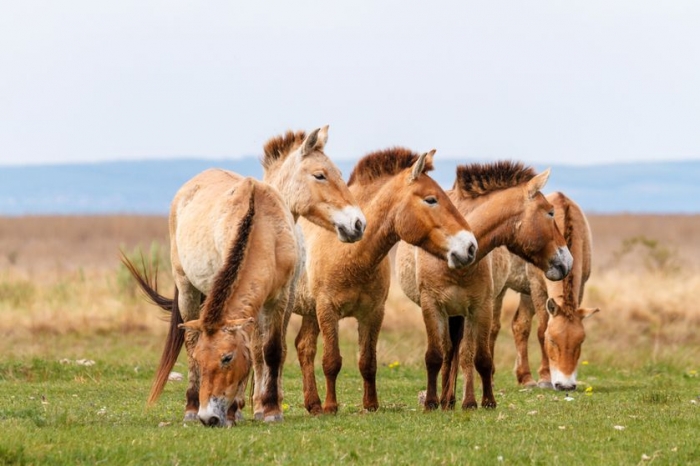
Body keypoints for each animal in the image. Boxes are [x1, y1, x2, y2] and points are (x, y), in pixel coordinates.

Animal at [123, 125, 366, 424]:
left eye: (339, 174)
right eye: (319, 175)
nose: (358, 223)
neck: (263, 228)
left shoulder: (280, 298)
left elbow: (271, 350)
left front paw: (267, 408)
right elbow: (251, 347)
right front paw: (240, 407)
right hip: (188, 290)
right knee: (190, 343)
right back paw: (191, 407)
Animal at [292, 147, 478, 414]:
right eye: (431, 199)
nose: (470, 247)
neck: (350, 255)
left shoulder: (373, 312)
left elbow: (368, 361)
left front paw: (370, 405)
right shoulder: (327, 310)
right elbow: (331, 361)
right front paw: (331, 407)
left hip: (309, 312)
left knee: (304, 347)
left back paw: (313, 404)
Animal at [396, 162, 572, 410]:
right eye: (550, 212)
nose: (568, 261)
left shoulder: (480, 307)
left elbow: (476, 357)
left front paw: (480, 401)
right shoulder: (432, 306)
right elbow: (435, 355)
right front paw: (431, 402)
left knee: (458, 352)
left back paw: (451, 399)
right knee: (448, 351)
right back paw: (445, 399)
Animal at [490, 191, 600, 392]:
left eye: (580, 342)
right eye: (552, 340)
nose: (565, 385)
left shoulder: (580, 287)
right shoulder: (538, 287)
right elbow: (541, 329)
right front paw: (545, 378)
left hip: (526, 294)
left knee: (520, 326)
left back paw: (525, 378)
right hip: (500, 289)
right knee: (492, 328)